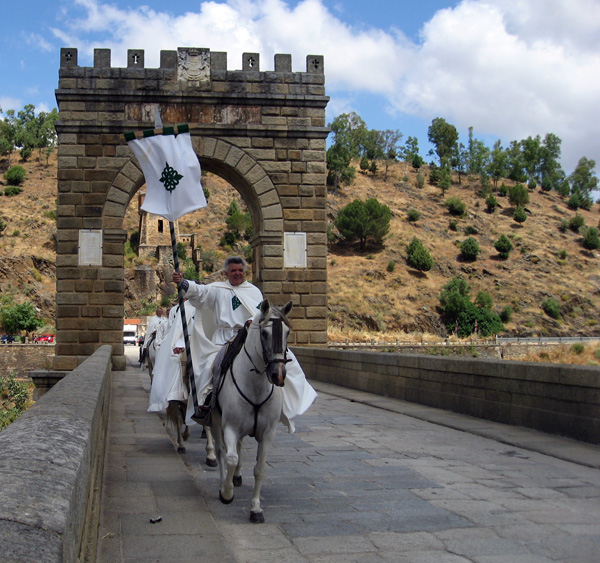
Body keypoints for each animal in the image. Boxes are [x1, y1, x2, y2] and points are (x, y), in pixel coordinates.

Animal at [211, 300, 292, 524]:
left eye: (288, 332)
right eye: (264, 333)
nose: (278, 375)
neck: (255, 385)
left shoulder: (268, 433)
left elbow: (259, 469)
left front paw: (256, 508)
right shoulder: (229, 427)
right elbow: (230, 458)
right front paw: (226, 492)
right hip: (215, 422)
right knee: (221, 452)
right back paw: (223, 481)